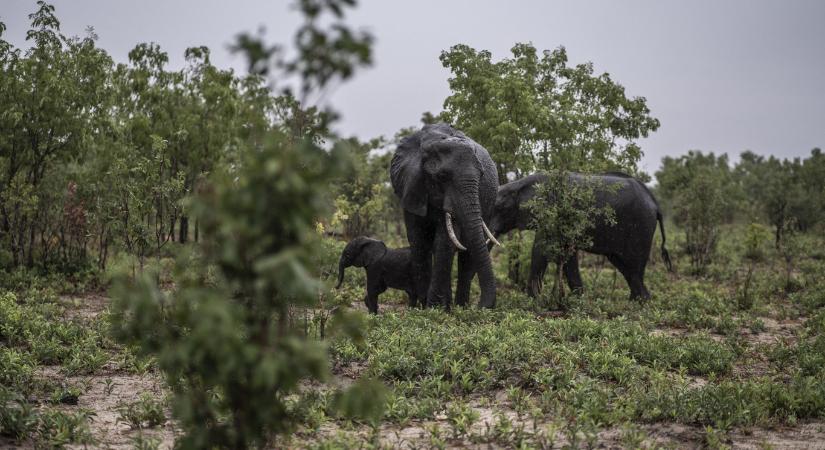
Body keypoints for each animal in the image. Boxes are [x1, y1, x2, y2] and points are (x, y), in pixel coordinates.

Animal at [390, 125, 498, 312]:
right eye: (441, 177)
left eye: (481, 176)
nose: (480, 307)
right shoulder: (411, 187)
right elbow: (418, 241)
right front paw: (425, 307)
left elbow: (444, 242)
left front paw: (434, 308)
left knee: (468, 256)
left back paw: (461, 307)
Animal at [490, 171, 668, 300]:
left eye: (499, 207)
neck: (519, 184)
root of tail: (656, 204)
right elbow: (567, 254)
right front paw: (578, 299)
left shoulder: (551, 213)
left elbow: (541, 250)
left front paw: (531, 300)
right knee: (624, 265)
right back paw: (637, 301)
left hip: (641, 226)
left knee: (633, 264)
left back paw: (640, 302)